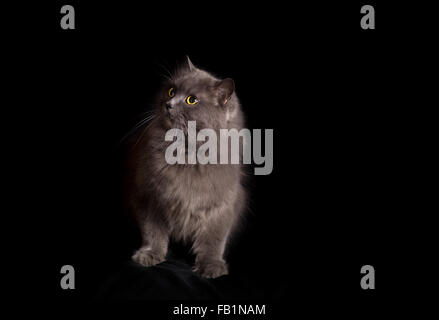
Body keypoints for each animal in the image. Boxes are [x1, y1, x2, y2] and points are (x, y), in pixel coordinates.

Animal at [125, 57, 248, 278]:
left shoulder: (222, 206)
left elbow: (214, 240)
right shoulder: (147, 197)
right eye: (171, 91)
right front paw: (149, 255)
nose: (168, 104)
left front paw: (211, 266)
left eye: (191, 100)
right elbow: (152, 232)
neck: (186, 155)